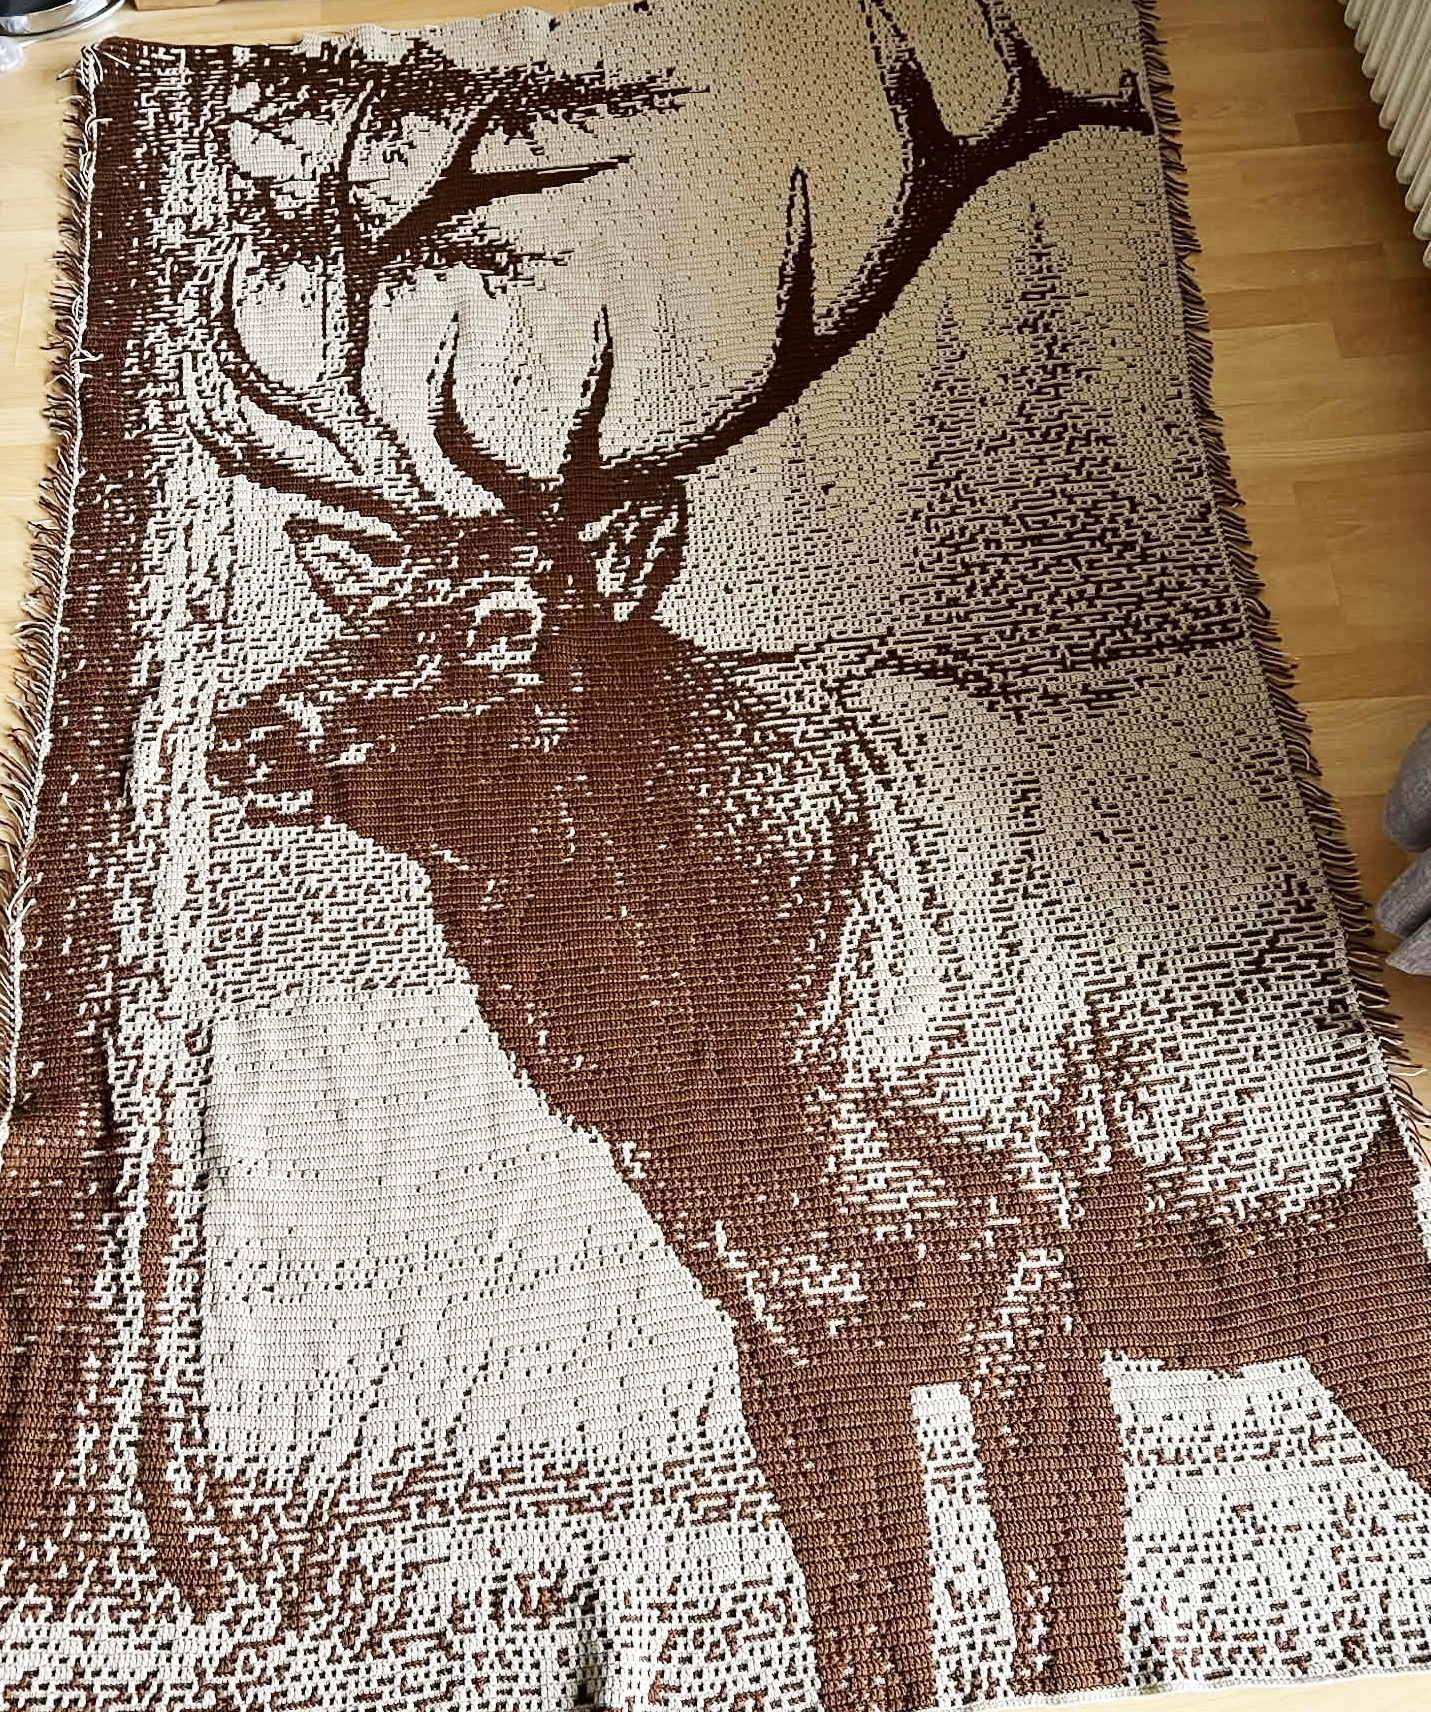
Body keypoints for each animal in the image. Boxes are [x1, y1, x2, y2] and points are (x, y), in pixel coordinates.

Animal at [181, 2, 1431, 1707]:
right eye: (367, 603)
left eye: (510, 625)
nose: (246, 733)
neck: (742, 1067)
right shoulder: (777, 1329)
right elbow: (861, 1637)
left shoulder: (1027, 1266)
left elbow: (1059, 1632)